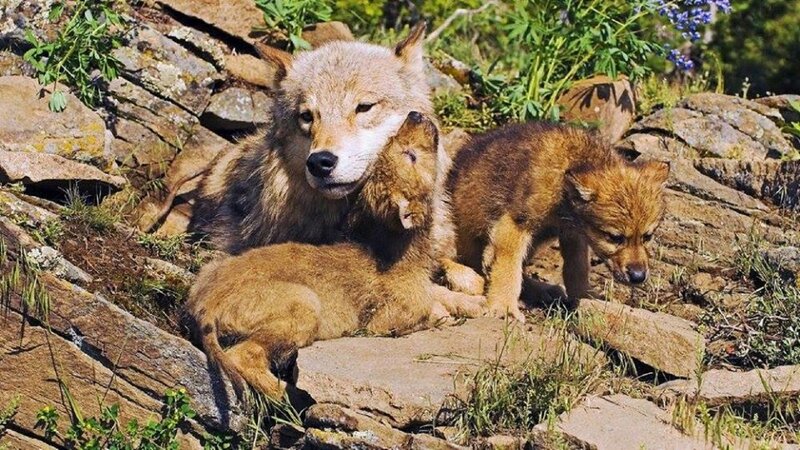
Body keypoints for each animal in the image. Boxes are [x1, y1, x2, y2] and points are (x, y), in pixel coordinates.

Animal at [187, 112, 485, 400]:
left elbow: (441, 292)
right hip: (303, 304)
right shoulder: (384, 321)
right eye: (410, 155)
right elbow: (429, 312)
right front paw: (450, 314)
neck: (391, 249)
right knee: (244, 355)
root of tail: (202, 307)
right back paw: (292, 398)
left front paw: (478, 302)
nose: (415, 114)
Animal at [442, 122, 670, 322]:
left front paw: (584, 299)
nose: (638, 277)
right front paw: (504, 307)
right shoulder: (513, 224)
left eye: (647, 236)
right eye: (614, 237)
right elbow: (508, 269)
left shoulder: (574, 234)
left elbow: (577, 269)